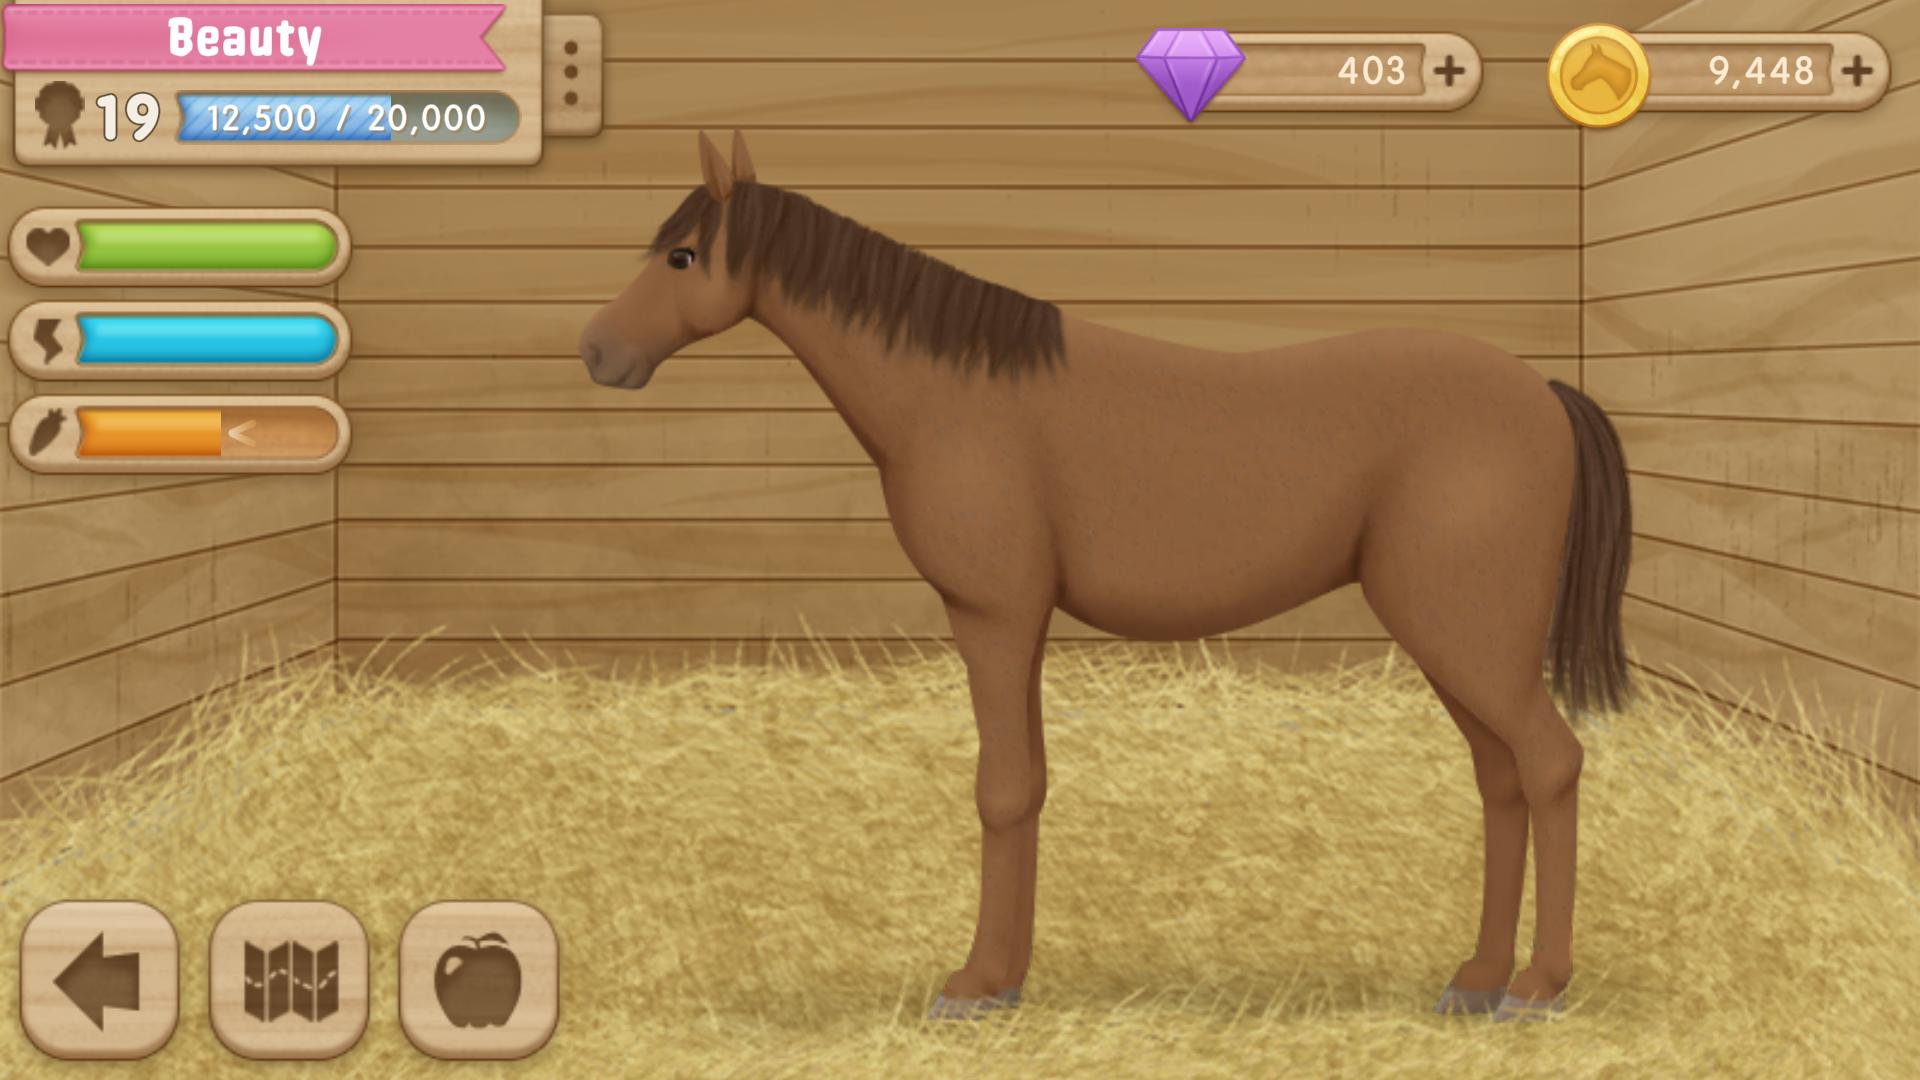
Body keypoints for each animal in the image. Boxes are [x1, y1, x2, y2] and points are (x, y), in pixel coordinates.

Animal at [579, 131, 1632, 1023]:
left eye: (681, 258)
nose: (597, 351)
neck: (957, 399)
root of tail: (1541, 392)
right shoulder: (1016, 620)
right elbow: (1030, 781)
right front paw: (1004, 978)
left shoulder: (995, 614)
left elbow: (1003, 787)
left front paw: (975, 986)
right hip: (1456, 642)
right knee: (1501, 780)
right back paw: (1478, 978)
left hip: (1467, 635)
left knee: (1549, 764)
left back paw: (1537, 986)